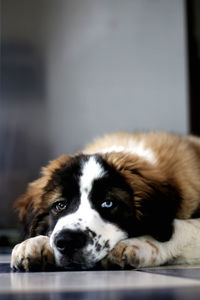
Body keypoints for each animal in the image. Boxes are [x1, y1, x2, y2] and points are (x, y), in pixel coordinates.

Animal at [10, 132, 200, 272]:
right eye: (60, 205)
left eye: (108, 203)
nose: (67, 241)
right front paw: (34, 243)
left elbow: (182, 228)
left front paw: (136, 244)